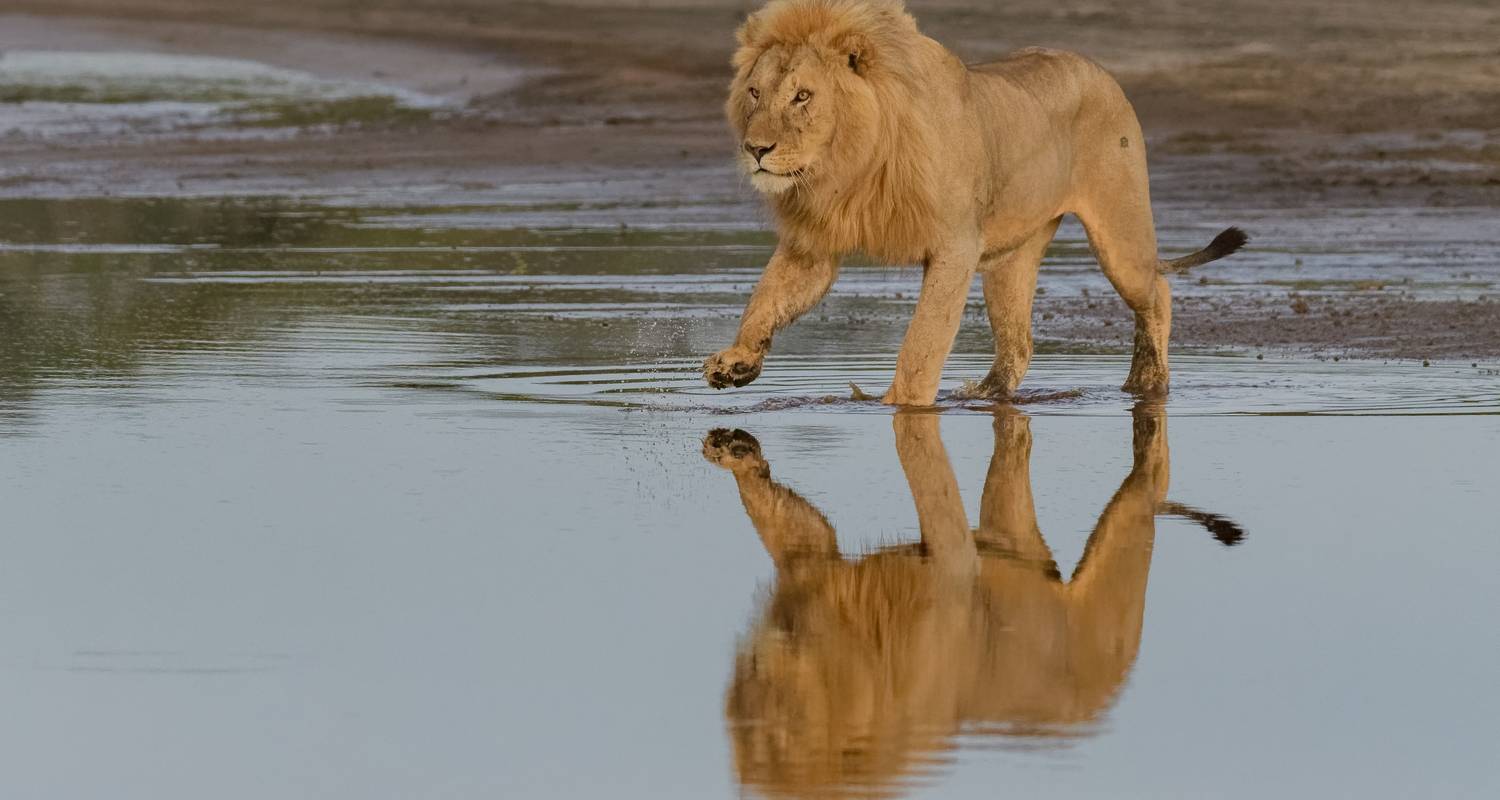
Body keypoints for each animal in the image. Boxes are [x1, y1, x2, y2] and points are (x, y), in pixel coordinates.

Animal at [702, 408, 1242, 792]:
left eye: (783, 735)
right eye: (746, 737)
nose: (751, 675)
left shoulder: (950, 570)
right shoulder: (812, 567)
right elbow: (783, 518)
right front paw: (733, 450)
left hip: (1121, 560)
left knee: (1144, 486)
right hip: (1016, 533)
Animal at [708, 0, 1248, 402]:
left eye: (802, 96)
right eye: (754, 93)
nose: (756, 149)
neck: (848, 166)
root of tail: (1098, 68)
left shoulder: (954, 246)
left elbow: (923, 344)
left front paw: (902, 408)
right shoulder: (814, 245)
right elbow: (766, 299)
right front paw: (736, 362)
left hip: (1119, 233)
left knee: (1156, 291)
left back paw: (1147, 383)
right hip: (1010, 260)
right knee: (1018, 343)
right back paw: (985, 395)